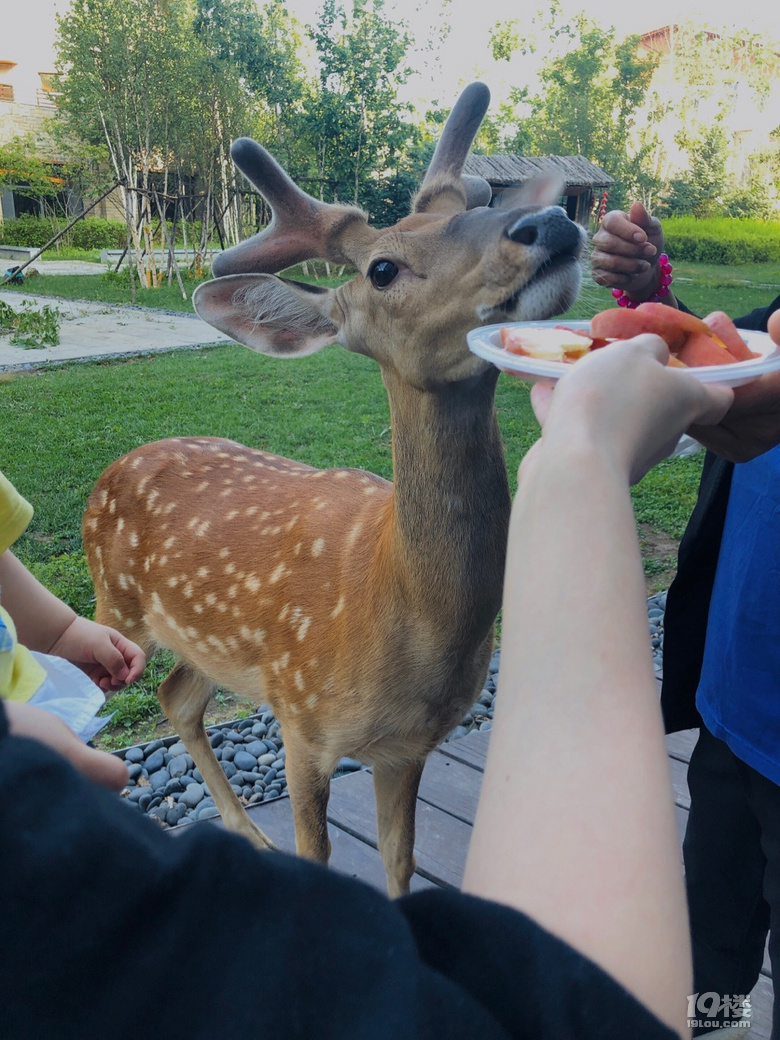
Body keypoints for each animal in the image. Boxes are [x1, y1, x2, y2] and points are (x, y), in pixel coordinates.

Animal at [85, 81, 586, 898]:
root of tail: (114, 468)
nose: (548, 223)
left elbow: (399, 858)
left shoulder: (409, 746)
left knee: (176, 697)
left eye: (477, 201)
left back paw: (247, 834)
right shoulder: (302, 718)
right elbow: (319, 854)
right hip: (114, 605)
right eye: (382, 269)